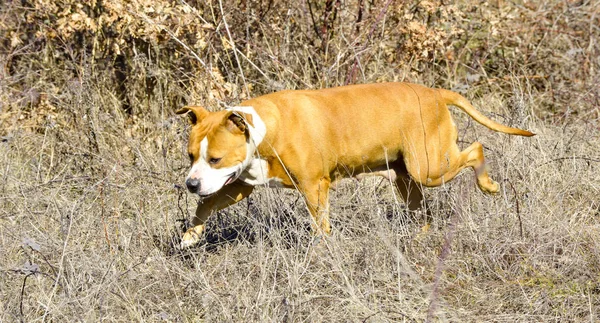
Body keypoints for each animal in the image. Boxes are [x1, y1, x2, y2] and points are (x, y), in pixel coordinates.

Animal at [175, 81, 536, 248]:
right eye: (191, 156)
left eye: (215, 158)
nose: (190, 184)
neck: (263, 130)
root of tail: (435, 93)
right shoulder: (238, 185)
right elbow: (206, 205)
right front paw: (190, 236)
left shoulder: (314, 187)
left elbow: (320, 225)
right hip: (406, 177)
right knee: (422, 209)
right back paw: (419, 236)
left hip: (430, 166)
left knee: (475, 148)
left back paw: (488, 185)